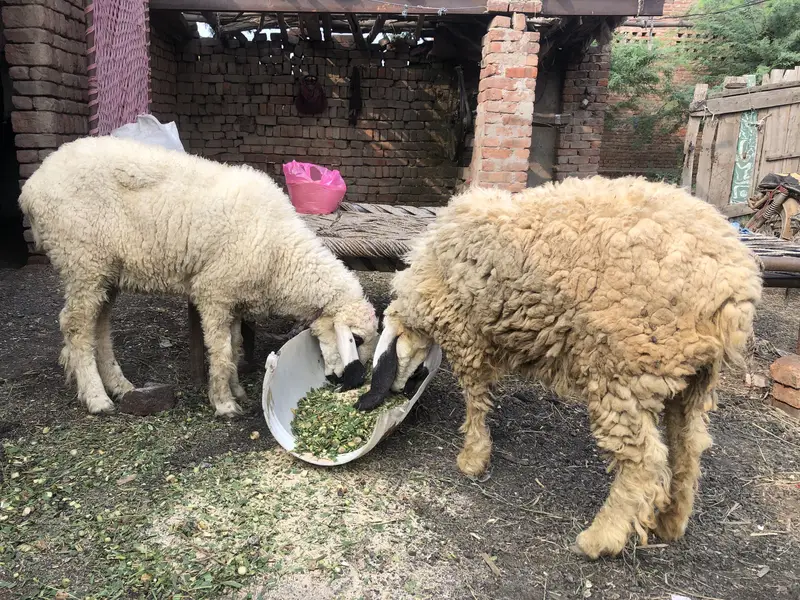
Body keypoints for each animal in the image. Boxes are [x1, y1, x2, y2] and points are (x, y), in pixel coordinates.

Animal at [19, 135, 378, 418]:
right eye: (356, 339)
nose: (352, 382)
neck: (280, 254)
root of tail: (31, 187)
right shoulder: (213, 292)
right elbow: (220, 352)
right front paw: (224, 403)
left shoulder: (234, 298)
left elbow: (234, 347)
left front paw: (236, 390)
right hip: (82, 261)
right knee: (77, 327)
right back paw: (96, 398)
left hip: (105, 271)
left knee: (100, 328)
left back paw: (120, 386)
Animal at [357, 176, 762, 559]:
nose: (398, 391)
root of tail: (733, 282)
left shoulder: (467, 333)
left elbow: (475, 397)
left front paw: (472, 456)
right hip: (692, 378)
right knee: (688, 449)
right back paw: (672, 521)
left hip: (626, 369)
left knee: (644, 462)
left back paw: (602, 538)